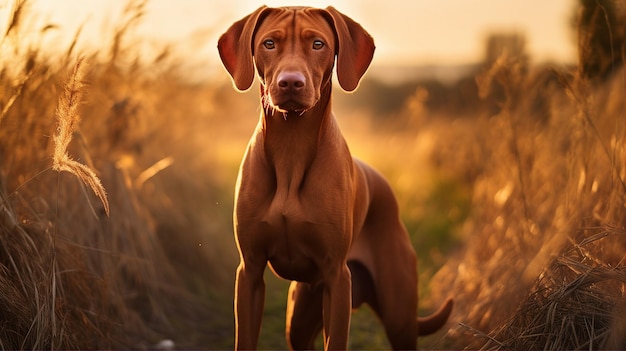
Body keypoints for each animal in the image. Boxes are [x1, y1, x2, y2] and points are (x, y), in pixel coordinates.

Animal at [217, 6, 450, 351]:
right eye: (269, 43)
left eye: (318, 44)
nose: (290, 83)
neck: (291, 147)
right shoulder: (250, 272)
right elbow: (245, 337)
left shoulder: (337, 278)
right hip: (300, 318)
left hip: (398, 314)